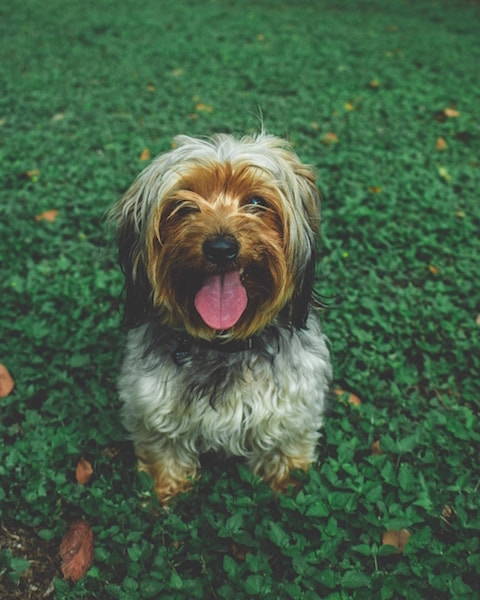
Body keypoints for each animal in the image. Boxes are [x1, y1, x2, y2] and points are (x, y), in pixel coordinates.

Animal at [110, 134, 332, 504]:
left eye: (256, 201)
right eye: (184, 206)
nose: (221, 248)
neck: (224, 344)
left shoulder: (292, 405)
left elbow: (286, 446)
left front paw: (288, 487)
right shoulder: (153, 406)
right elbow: (162, 451)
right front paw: (163, 494)